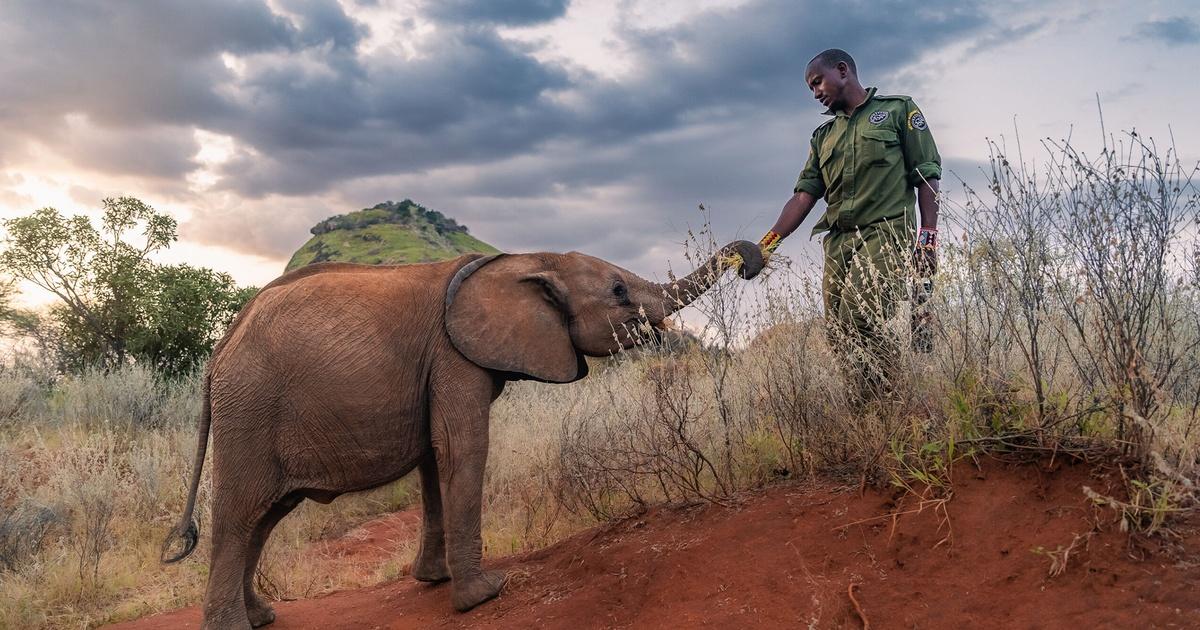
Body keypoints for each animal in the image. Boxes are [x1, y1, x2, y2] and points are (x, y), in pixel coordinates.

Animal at [161, 240, 764, 629]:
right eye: (617, 290)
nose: (751, 261)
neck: (525, 260)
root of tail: (220, 350)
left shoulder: (439, 368)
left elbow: (436, 457)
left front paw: (433, 580)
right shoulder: (455, 357)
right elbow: (463, 448)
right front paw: (483, 595)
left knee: (264, 517)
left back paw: (262, 617)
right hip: (251, 409)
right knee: (241, 513)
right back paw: (233, 627)